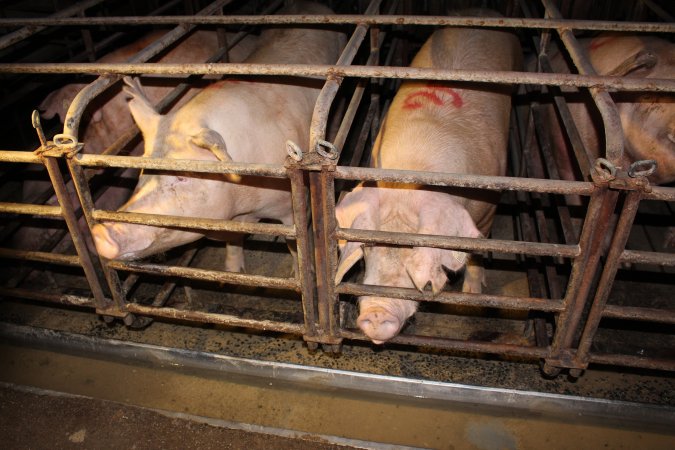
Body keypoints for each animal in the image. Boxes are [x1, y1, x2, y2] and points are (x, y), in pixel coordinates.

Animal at [90, 1, 346, 272]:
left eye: (183, 177)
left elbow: (294, 244)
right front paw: (233, 271)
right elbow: (233, 244)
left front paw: (301, 271)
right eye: (143, 170)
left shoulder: (290, 206)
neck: (243, 205)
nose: (101, 234)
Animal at [336, 27, 524, 344]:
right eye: (369, 245)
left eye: (415, 248)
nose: (376, 313)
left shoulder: (488, 206)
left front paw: (471, 297)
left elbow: (475, 248)